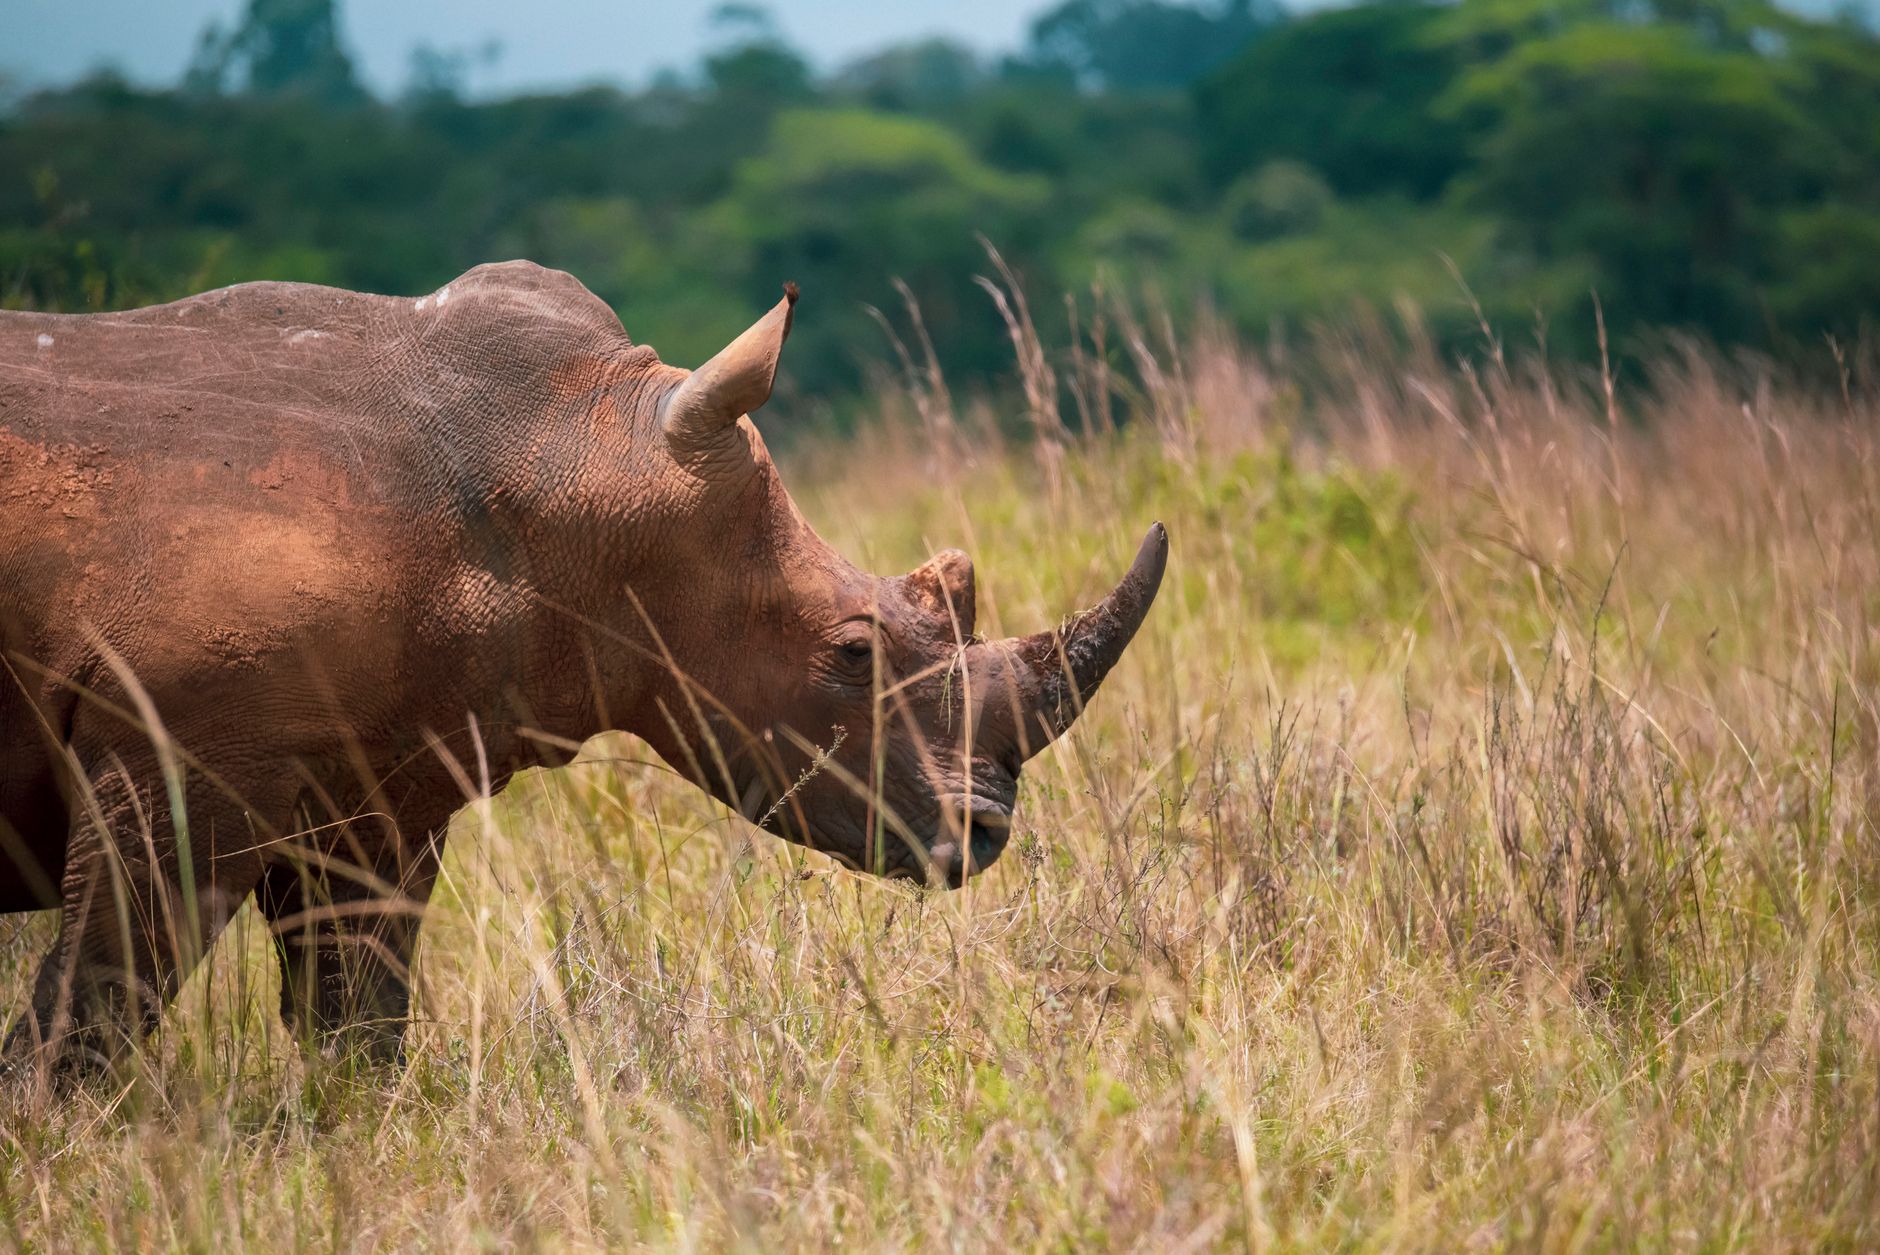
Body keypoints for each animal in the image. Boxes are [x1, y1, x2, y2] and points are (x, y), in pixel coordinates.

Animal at [0, 261, 1166, 1077]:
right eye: (851, 653)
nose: (985, 834)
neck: (575, 458)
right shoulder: (176, 752)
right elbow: (95, 1005)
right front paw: (58, 1157)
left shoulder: (375, 784)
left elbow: (356, 1020)